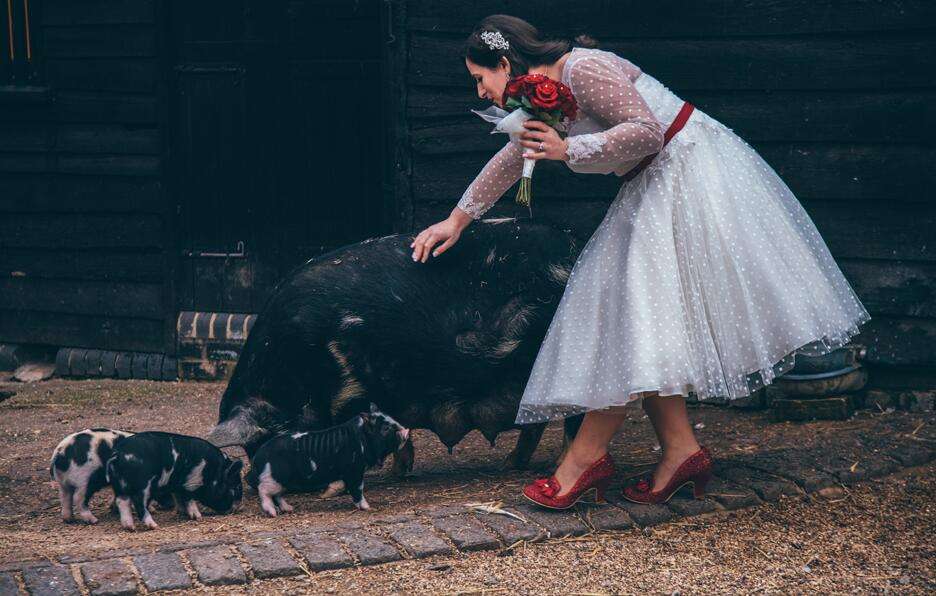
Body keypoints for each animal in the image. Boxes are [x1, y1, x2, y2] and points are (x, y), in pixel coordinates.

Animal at [106, 431, 243, 531]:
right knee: (139, 503)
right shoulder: (192, 482)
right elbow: (189, 499)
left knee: (122, 502)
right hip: (143, 485)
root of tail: (118, 454)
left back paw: (130, 527)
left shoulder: (178, 486)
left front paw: (182, 512)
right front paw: (198, 517)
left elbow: (179, 498)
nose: (238, 507)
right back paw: (154, 526)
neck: (213, 470)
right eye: (235, 488)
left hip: (120, 485)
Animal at [206, 218, 585, 475]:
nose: (259, 474)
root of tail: (575, 246)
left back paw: (555, 467)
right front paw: (399, 472)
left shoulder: (351, 385)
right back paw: (510, 464)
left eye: (267, 439)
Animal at [247, 403, 409, 515]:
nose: (406, 431)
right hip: (273, 477)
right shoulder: (354, 470)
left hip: (282, 480)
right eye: (385, 428)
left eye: (394, 420)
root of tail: (258, 456)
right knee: (263, 490)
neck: (362, 439)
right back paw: (273, 513)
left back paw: (289, 509)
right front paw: (367, 507)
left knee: (277, 495)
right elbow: (358, 488)